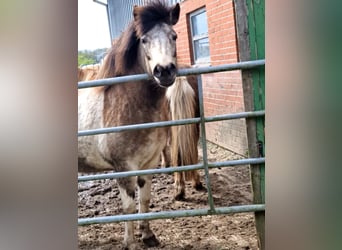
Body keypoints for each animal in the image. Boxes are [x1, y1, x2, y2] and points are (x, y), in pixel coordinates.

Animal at [78, 1, 200, 248]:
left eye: (174, 35)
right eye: (144, 40)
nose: (165, 71)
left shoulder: (148, 164)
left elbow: (144, 200)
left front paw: (148, 236)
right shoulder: (124, 168)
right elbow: (128, 207)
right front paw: (130, 243)